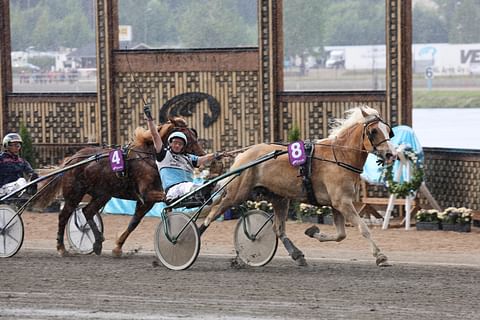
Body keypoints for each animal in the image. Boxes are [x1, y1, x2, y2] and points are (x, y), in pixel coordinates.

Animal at [34, 117, 204, 255]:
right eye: (185, 136)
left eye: (194, 134)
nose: (202, 155)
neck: (150, 157)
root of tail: (73, 158)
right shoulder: (148, 194)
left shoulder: (147, 201)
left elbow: (134, 222)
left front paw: (117, 247)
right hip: (74, 194)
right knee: (64, 216)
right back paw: (61, 248)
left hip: (102, 194)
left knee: (87, 211)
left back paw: (97, 243)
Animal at [201, 106, 396, 266]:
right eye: (373, 131)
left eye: (388, 131)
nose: (390, 154)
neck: (339, 156)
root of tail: (243, 156)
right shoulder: (342, 202)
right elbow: (363, 229)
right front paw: (380, 256)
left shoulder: (338, 204)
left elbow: (341, 235)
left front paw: (313, 232)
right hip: (236, 194)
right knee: (211, 215)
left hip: (280, 199)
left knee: (278, 229)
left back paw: (297, 255)